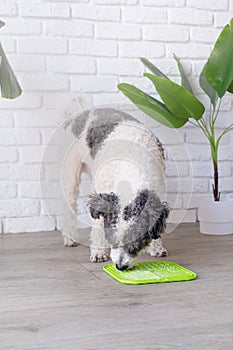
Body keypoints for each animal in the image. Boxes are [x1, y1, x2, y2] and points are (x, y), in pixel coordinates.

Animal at [61, 106, 168, 270]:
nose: (120, 266)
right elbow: (98, 225)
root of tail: (84, 111)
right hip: (70, 173)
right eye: (112, 238)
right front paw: (99, 253)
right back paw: (70, 238)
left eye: (135, 242)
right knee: (69, 206)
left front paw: (156, 247)